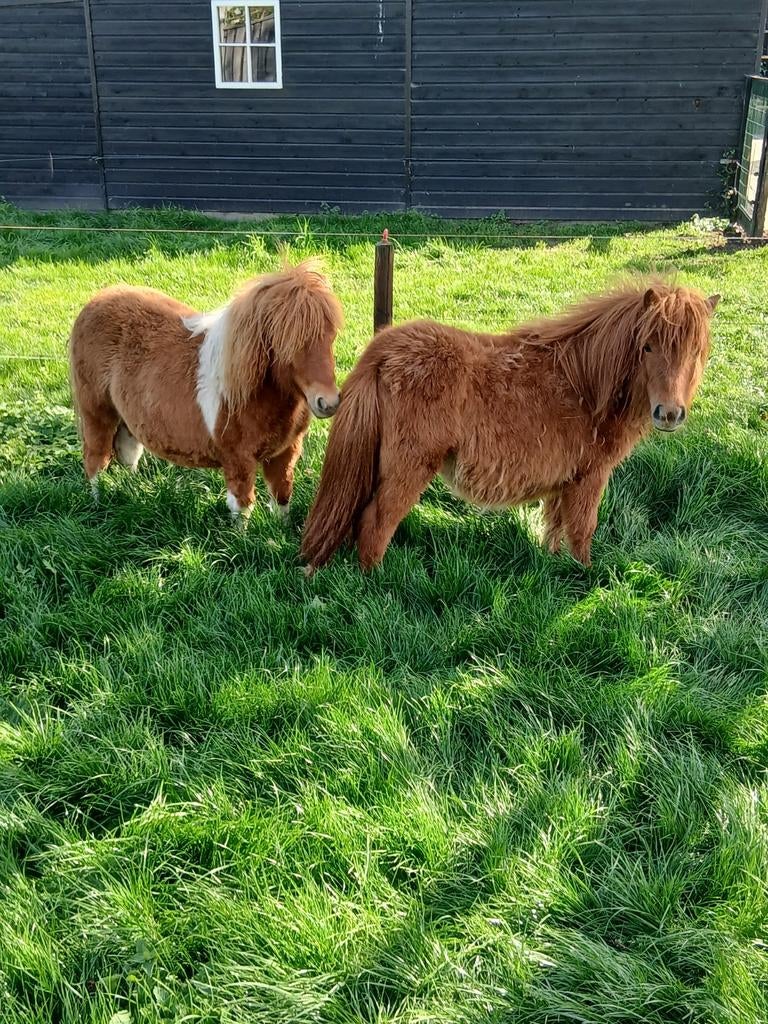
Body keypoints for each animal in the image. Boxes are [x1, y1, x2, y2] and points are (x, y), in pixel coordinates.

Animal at [69, 259, 344, 520]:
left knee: (127, 453)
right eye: (289, 344)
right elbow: (243, 507)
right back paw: (100, 505)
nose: (328, 402)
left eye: (331, 337)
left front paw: (279, 532)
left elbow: (282, 497)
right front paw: (240, 536)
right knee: (96, 460)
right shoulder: (238, 459)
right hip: (96, 413)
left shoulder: (285, 452)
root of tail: (95, 301)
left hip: (126, 418)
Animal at [301, 280, 719, 571]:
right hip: (410, 468)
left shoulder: (564, 482)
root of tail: (385, 349)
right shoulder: (590, 478)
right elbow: (582, 531)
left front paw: (557, 570)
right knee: (375, 524)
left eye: (696, 352)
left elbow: (556, 529)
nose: (669, 413)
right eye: (647, 347)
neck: (584, 385)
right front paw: (585, 578)